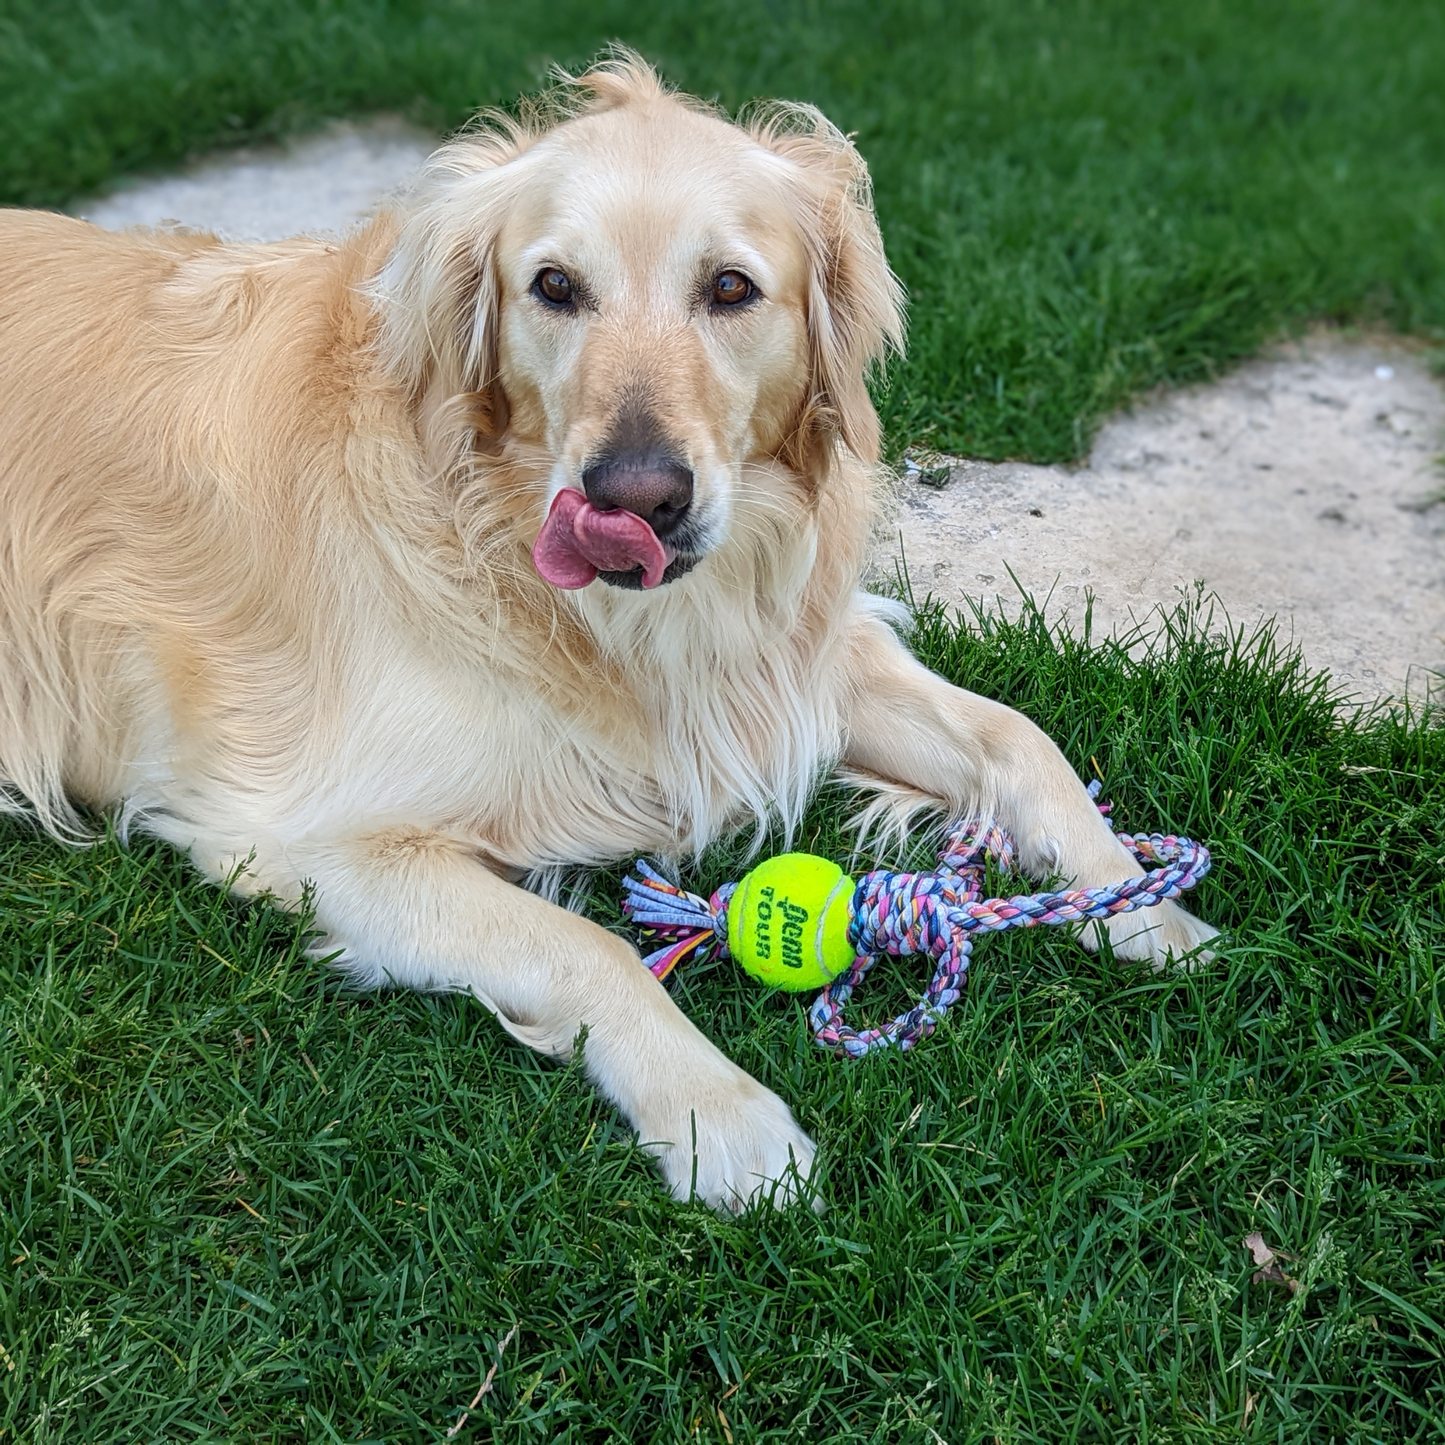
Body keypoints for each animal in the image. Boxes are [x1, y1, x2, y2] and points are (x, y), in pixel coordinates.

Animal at [0, 53, 1219, 1208]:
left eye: (730, 287)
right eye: (554, 286)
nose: (634, 498)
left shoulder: (790, 660)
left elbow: (1020, 735)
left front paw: (1136, 903)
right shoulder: (311, 835)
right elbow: (586, 944)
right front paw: (721, 1116)